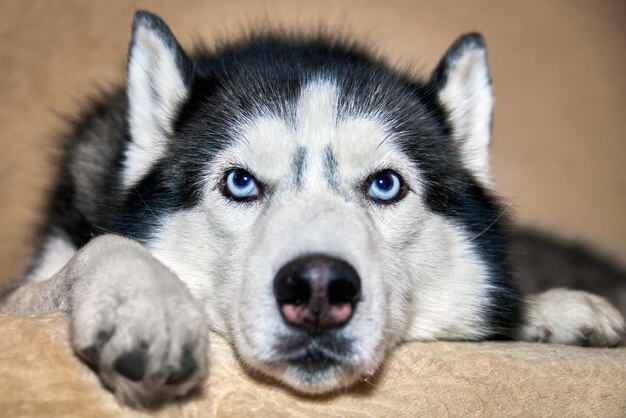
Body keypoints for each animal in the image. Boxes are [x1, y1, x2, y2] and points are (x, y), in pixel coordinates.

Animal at [1, 9, 624, 406]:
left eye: (385, 185)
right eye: (241, 183)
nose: (320, 287)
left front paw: (550, 309)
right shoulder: (27, 285)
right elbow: (99, 248)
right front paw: (146, 300)